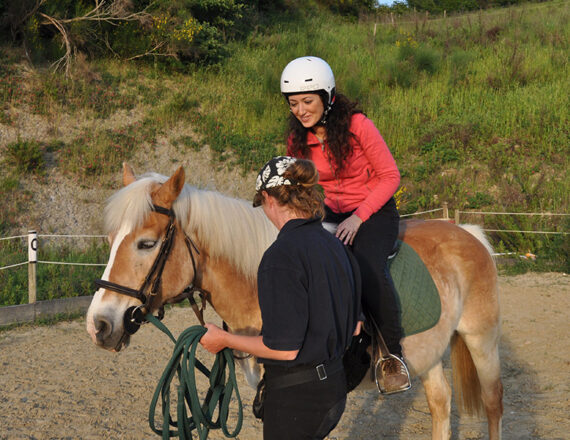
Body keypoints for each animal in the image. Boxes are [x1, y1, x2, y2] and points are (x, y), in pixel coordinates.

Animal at [85, 165, 502, 440]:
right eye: (111, 239)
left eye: (146, 243)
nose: (99, 324)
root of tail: (467, 231)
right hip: (428, 355)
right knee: (441, 404)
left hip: (481, 339)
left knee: (493, 404)